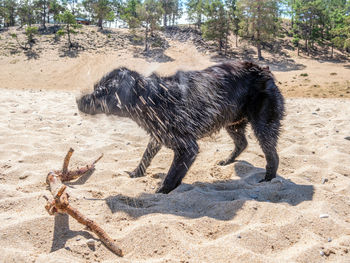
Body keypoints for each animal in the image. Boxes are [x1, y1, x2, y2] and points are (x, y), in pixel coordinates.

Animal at [76, 61, 284, 194]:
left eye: (102, 91)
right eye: (95, 86)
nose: (78, 100)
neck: (152, 98)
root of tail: (264, 69)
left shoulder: (188, 148)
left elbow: (171, 176)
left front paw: (161, 191)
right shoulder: (158, 136)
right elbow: (146, 156)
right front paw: (136, 173)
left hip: (263, 124)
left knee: (272, 155)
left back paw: (267, 179)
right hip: (232, 123)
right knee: (242, 143)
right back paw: (227, 161)